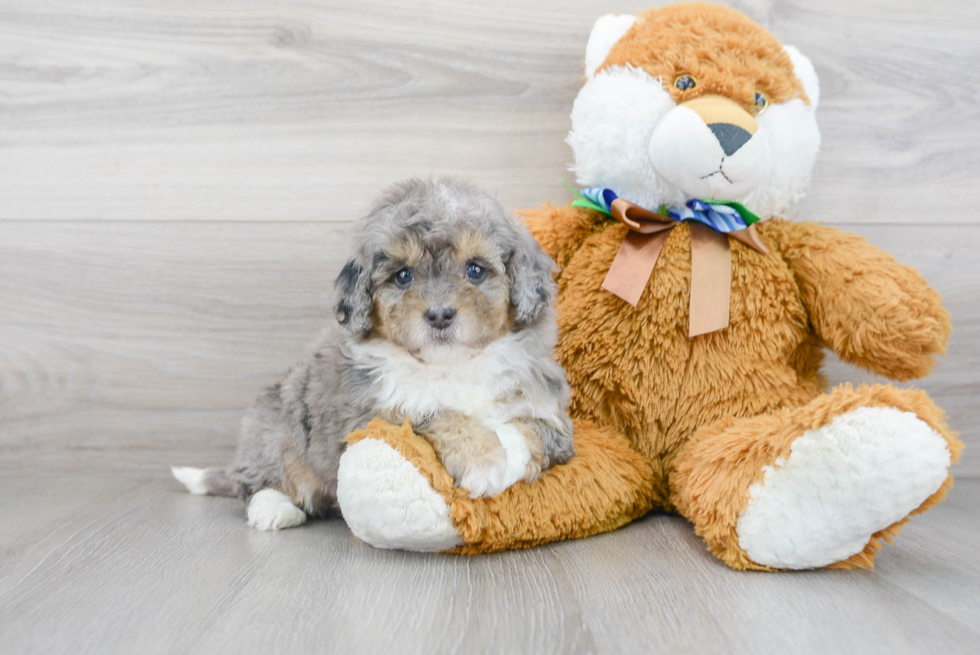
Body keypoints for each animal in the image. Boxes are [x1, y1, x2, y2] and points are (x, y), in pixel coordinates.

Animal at [173, 177, 580, 532]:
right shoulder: (375, 412)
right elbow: (439, 412)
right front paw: (484, 460)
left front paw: (502, 459)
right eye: (403, 276)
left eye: (476, 270)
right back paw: (273, 508)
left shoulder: (550, 411)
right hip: (276, 430)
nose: (439, 315)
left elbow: (527, 429)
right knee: (260, 480)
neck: (453, 366)